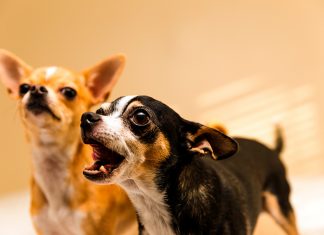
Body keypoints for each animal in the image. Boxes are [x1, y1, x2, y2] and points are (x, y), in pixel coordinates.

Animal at [79, 95, 298, 235]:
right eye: (100, 111)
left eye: (140, 116)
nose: (86, 117)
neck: (152, 204)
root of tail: (272, 149)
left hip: (283, 211)